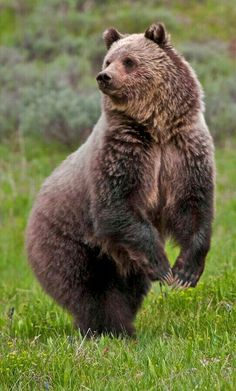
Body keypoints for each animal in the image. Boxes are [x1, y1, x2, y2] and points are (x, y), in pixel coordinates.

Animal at [25, 23, 214, 338]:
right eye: (107, 60)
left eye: (129, 60)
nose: (104, 76)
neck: (155, 127)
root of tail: (33, 209)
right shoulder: (123, 153)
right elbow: (116, 206)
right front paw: (163, 266)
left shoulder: (183, 150)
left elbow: (193, 205)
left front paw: (186, 271)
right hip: (68, 238)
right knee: (87, 288)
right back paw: (110, 329)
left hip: (121, 260)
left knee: (129, 288)